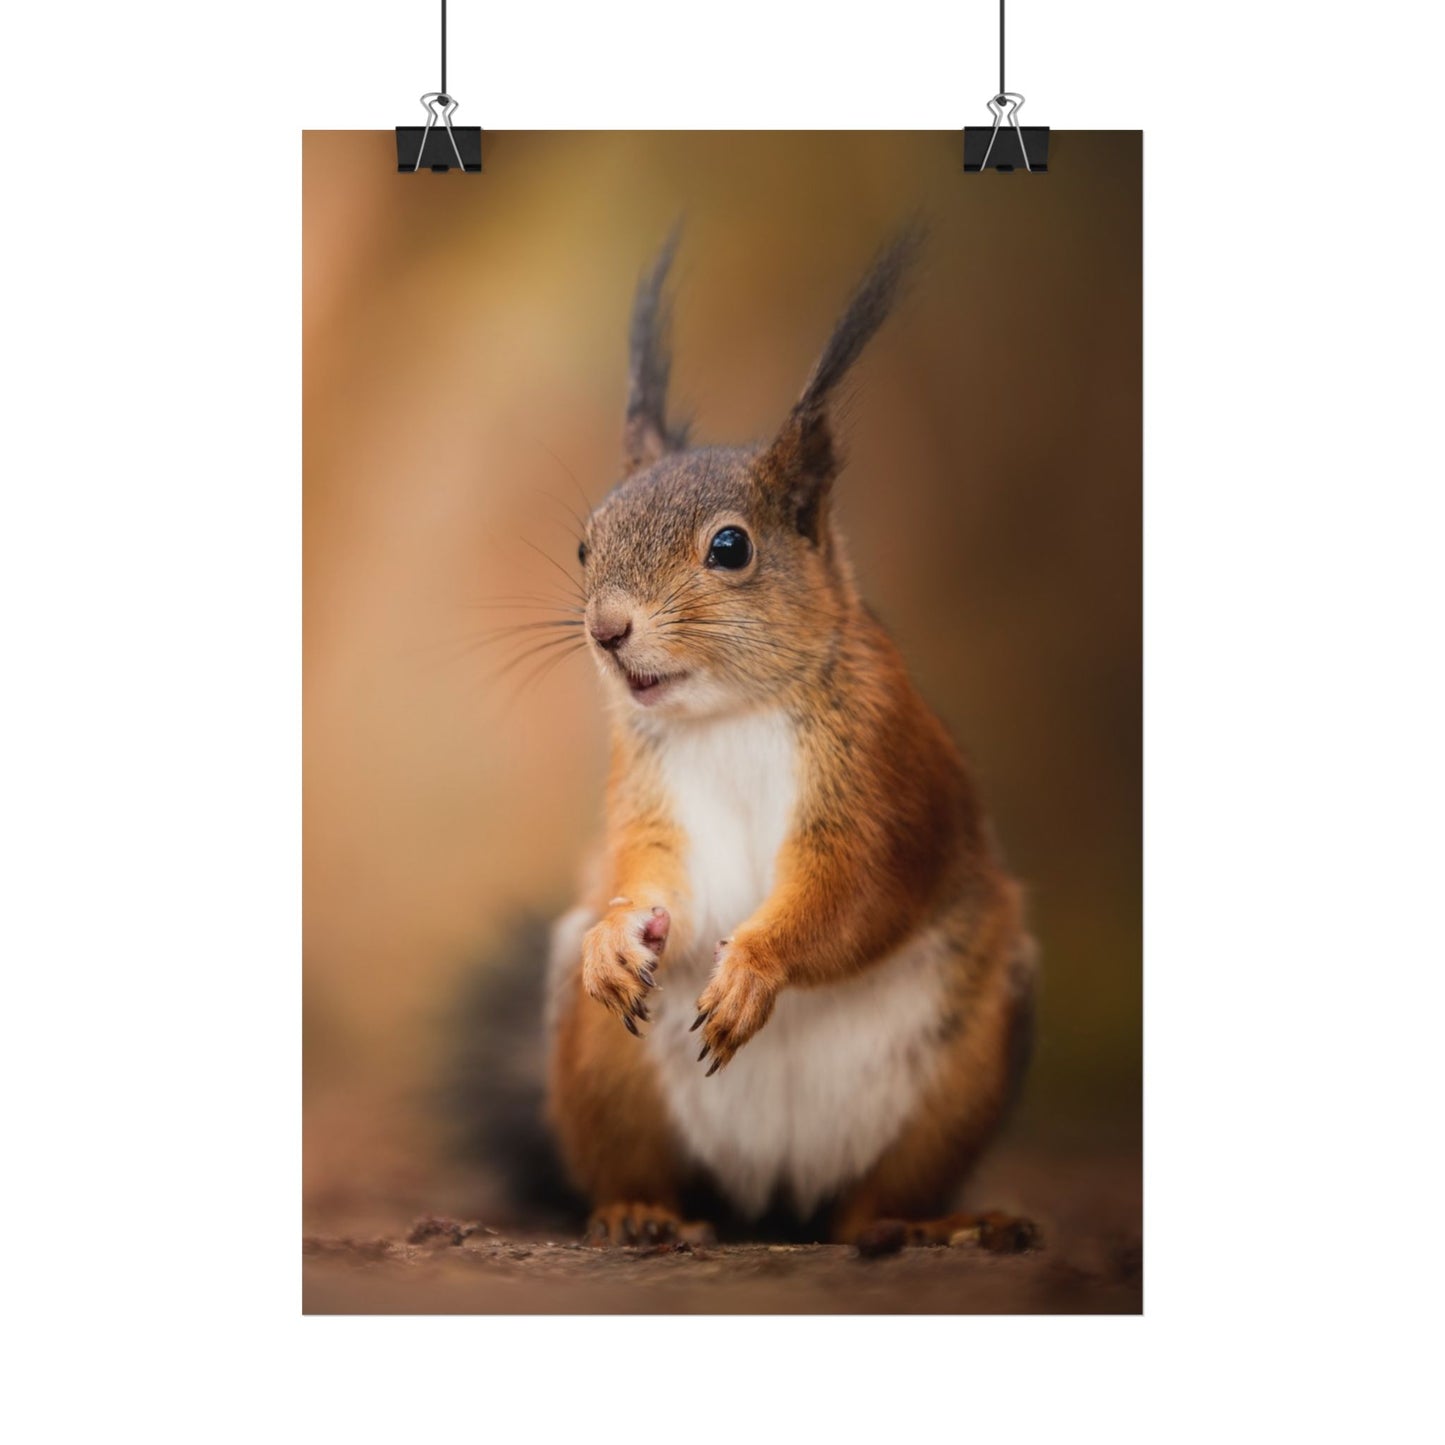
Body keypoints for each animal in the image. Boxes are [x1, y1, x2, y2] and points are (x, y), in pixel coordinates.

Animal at [544, 231, 1038, 1250]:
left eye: (730, 548)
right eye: (585, 542)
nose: (606, 630)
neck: (729, 713)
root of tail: (772, 1195)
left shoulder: (883, 774)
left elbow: (857, 889)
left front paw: (755, 966)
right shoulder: (645, 787)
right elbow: (652, 873)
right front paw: (618, 934)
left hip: (963, 1062)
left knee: (871, 1203)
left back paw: (926, 1224)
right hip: (603, 1068)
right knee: (647, 1168)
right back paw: (639, 1212)